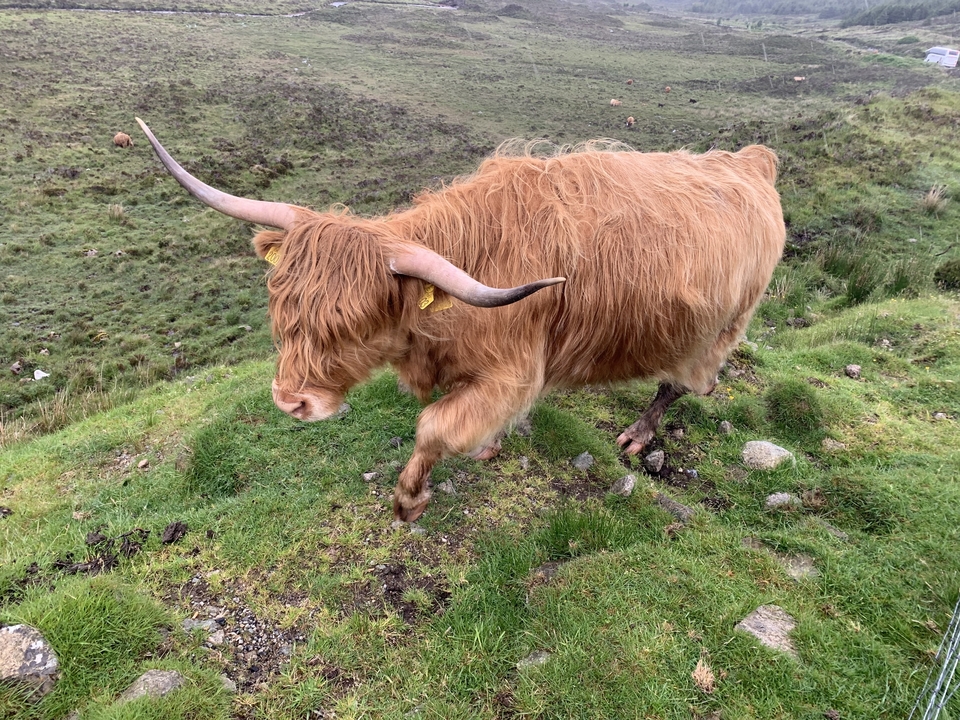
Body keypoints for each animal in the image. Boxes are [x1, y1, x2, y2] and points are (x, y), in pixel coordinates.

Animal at [136, 118, 785, 523]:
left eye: (352, 324)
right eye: (283, 307)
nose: (290, 402)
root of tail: (751, 162)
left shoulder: (514, 371)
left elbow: (433, 428)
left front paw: (410, 499)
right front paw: (487, 446)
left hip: (718, 331)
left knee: (684, 383)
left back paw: (638, 433)